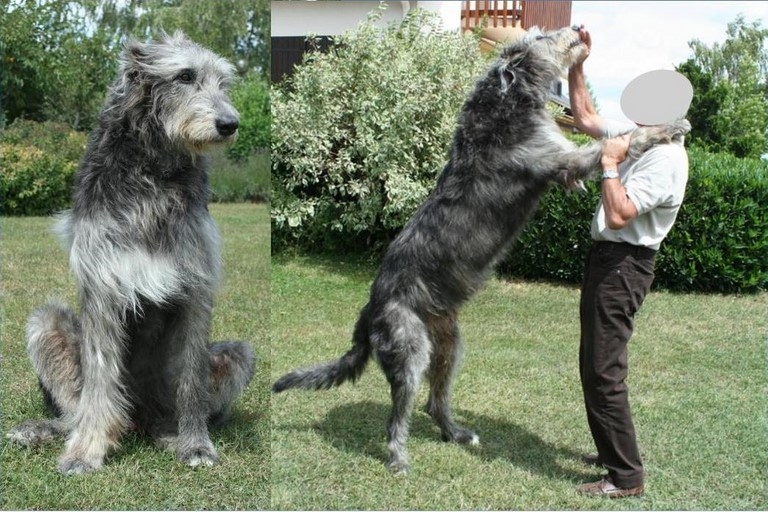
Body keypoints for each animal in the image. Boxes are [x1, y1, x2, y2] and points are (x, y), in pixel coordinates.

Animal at [6, 32, 255, 474]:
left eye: (223, 83)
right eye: (185, 76)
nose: (229, 124)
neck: (153, 175)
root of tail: (140, 419)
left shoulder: (196, 285)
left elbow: (191, 378)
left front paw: (196, 445)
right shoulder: (102, 284)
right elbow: (100, 377)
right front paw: (85, 451)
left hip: (239, 354)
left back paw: (170, 433)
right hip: (45, 323)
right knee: (76, 406)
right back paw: (50, 430)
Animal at [274, 26, 688, 474]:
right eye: (541, 36)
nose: (577, 30)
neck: (508, 102)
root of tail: (369, 310)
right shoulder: (556, 157)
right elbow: (617, 143)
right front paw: (667, 127)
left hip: (447, 344)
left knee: (435, 401)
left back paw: (456, 433)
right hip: (408, 348)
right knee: (398, 415)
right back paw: (398, 458)